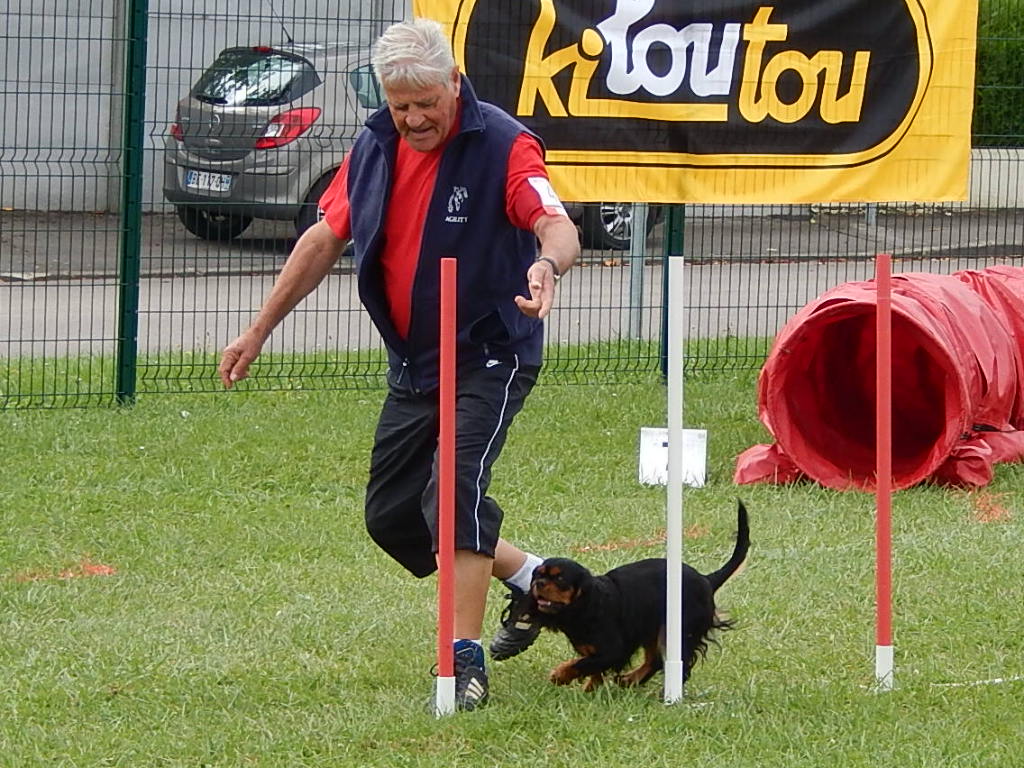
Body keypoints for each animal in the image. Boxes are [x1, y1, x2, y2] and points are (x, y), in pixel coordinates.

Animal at [532, 505, 749, 692]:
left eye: (559, 578)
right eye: (537, 575)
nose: (538, 583)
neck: (589, 602)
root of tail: (706, 580)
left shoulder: (614, 648)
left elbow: (584, 663)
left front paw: (561, 674)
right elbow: (594, 667)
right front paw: (590, 688)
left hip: (678, 630)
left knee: (674, 665)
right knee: (654, 660)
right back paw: (630, 680)